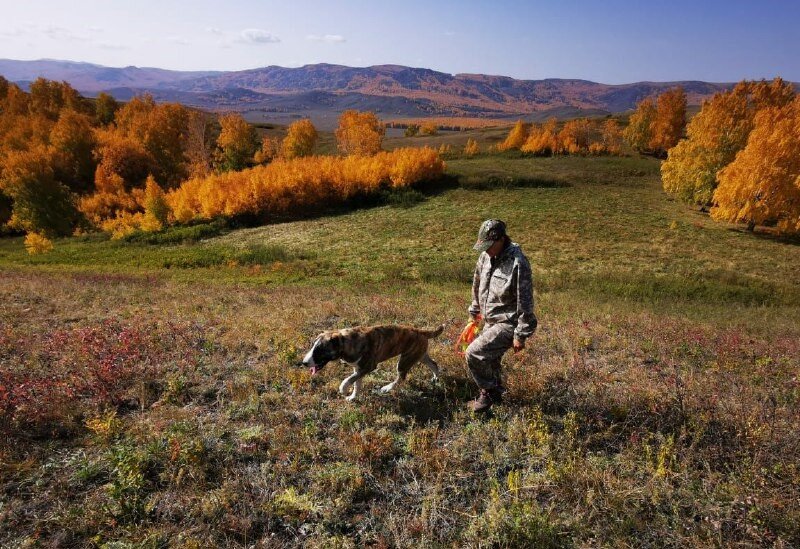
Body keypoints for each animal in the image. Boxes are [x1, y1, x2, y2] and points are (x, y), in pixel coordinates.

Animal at [304, 324, 446, 400]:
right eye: (312, 346)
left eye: (320, 350)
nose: (304, 363)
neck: (347, 341)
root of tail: (420, 331)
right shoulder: (357, 368)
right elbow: (356, 383)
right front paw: (353, 397)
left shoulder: (369, 366)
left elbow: (349, 379)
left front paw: (343, 388)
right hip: (419, 355)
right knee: (434, 364)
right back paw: (435, 378)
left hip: (405, 361)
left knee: (401, 377)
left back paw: (387, 388)